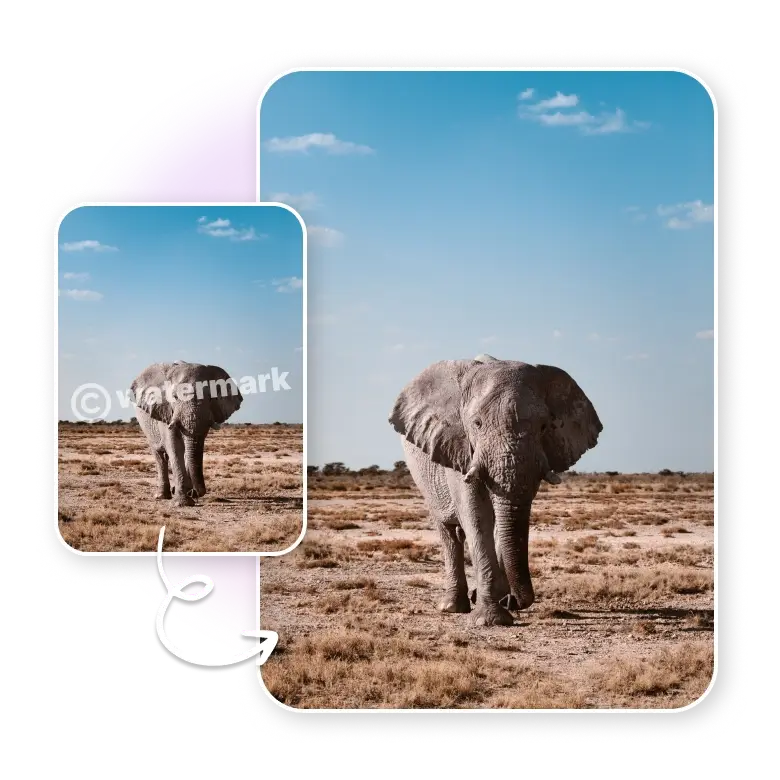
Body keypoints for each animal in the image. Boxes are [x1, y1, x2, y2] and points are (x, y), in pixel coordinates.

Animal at [130, 361, 243, 507]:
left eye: (211, 397)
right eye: (175, 397)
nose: (196, 493)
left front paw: (188, 495)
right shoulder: (166, 411)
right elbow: (175, 447)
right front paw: (182, 503)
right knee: (159, 455)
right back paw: (162, 496)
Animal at [388, 354, 602, 627]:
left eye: (544, 427)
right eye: (477, 424)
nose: (514, 601)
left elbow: (505, 518)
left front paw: (500, 603)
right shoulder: (459, 446)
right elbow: (476, 516)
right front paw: (491, 620)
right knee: (448, 533)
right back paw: (452, 607)